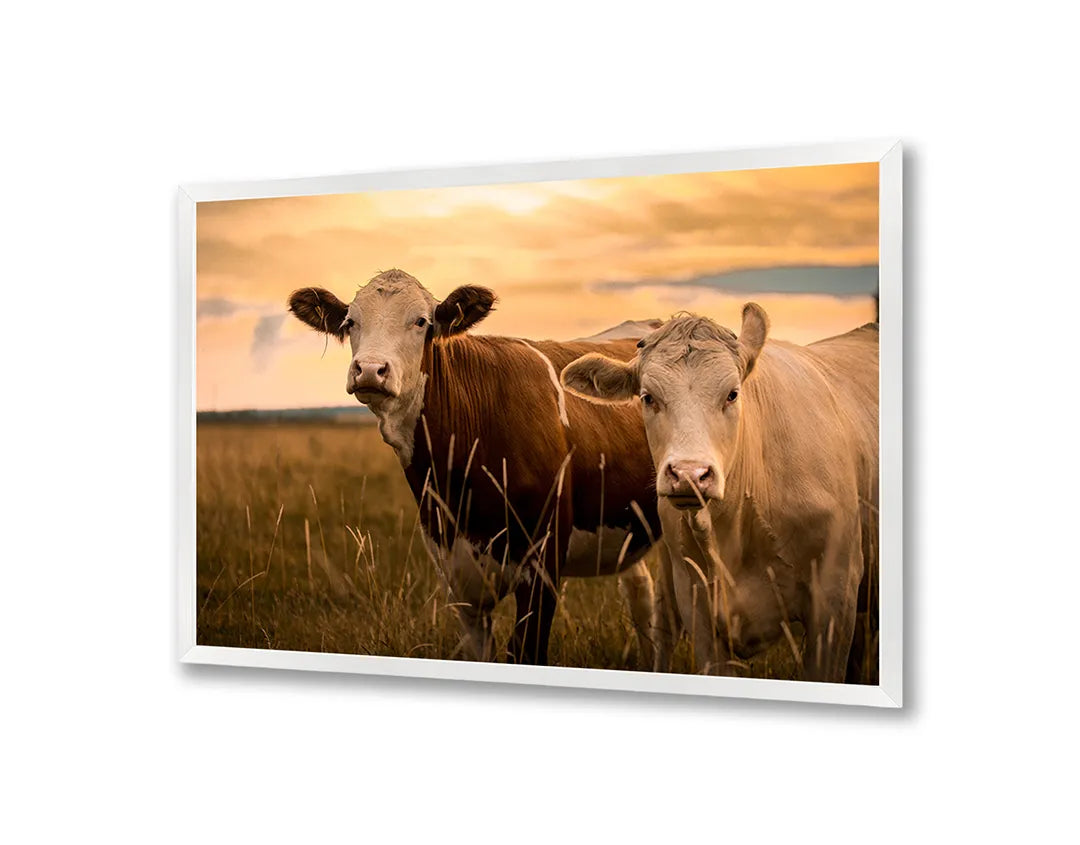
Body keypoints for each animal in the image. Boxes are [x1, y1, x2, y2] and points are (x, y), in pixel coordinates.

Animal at [287, 269, 676, 668]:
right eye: (351, 322)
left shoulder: (542, 566)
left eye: (421, 321)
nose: (369, 370)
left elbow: (526, 651)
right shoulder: (456, 575)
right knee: (642, 597)